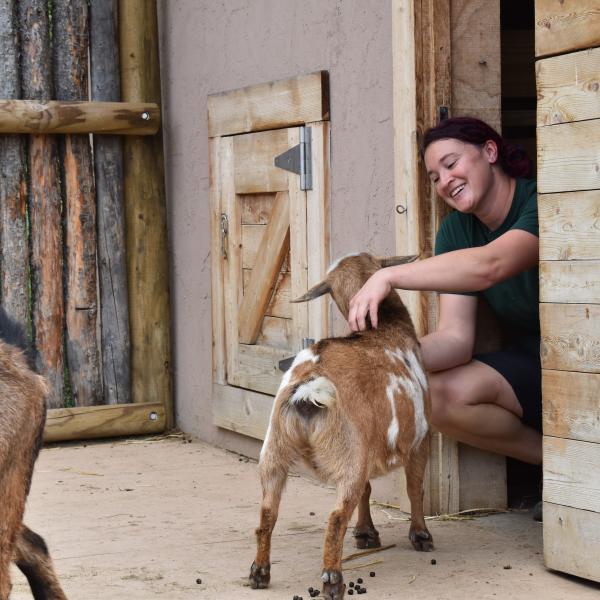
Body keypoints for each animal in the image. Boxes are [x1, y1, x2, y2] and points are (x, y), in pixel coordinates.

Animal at [251, 254, 434, 600]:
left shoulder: (367, 449)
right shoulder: (418, 439)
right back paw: (333, 581)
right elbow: (414, 487)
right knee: (336, 517)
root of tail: (310, 386)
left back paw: (259, 572)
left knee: (267, 512)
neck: (385, 328)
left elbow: (368, 489)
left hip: (275, 447)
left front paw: (365, 534)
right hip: (346, 451)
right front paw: (420, 535)